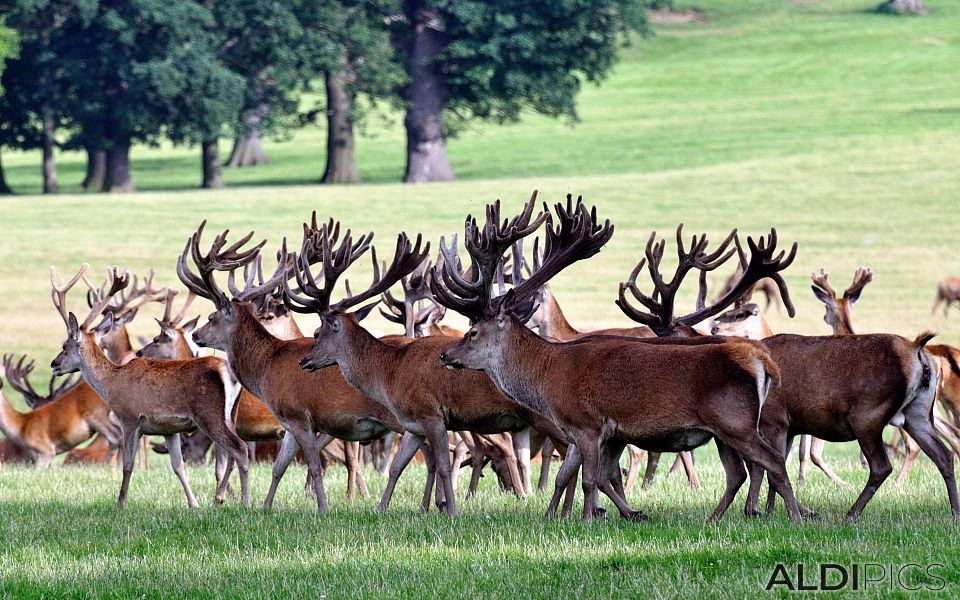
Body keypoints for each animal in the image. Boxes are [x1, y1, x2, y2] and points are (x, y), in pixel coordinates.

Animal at [48, 264, 251, 508]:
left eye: (65, 345)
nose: (54, 363)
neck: (111, 384)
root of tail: (227, 372)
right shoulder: (169, 429)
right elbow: (178, 466)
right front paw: (193, 504)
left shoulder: (130, 419)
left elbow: (127, 465)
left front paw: (121, 503)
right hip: (231, 414)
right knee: (234, 452)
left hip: (209, 414)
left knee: (240, 448)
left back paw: (245, 502)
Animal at [434, 196, 804, 520]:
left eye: (472, 332)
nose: (444, 354)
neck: (548, 373)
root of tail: (761, 360)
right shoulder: (600, 431)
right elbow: (581, 476)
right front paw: (599, 514)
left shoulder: (585, 422)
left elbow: (587, 479)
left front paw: (586, 518)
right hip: (722, 431)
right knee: (738, 473)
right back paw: (716, 518)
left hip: (734, 420)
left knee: (772, 461)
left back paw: (795, 517)